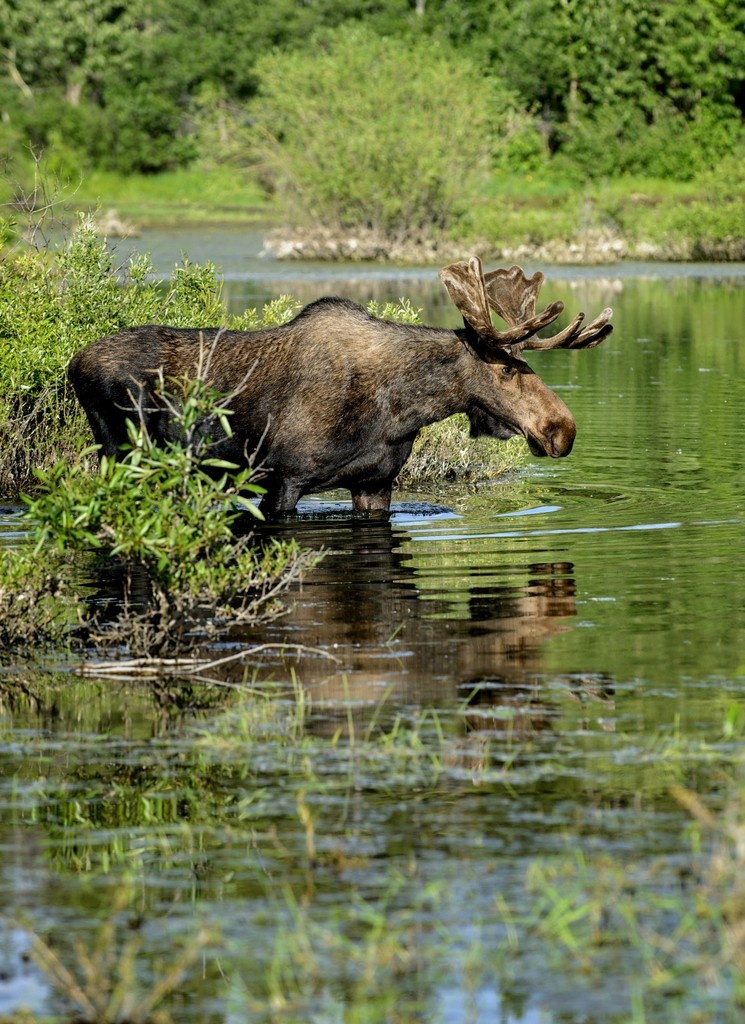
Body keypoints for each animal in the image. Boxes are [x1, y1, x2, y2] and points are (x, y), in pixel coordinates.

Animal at [67, 257, 613, 517]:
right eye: (505, 370)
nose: (562, 429)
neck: (401, 411)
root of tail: (73, 364)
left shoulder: (375, 484)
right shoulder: (283, 479)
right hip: (122, 449)